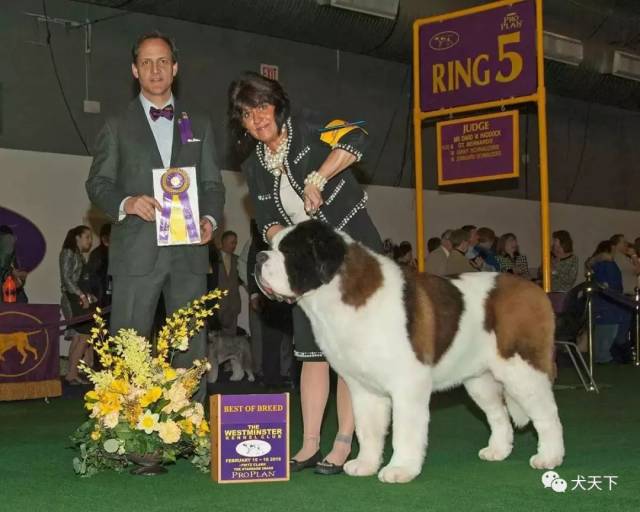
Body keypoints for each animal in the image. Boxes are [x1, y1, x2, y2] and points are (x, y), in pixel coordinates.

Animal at [255, 221, 564, 484]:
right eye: (272, 245)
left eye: (289, 251)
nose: (259, 257)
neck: (336, 296)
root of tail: (535, 289)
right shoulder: (363, 388)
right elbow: (367, 428)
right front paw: (365, 464)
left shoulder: (408, 384)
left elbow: (405, 430)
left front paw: (400, 469)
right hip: (480, 380)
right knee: (498, 414)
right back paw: (498, 451)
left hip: (523, 370)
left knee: (546, 413)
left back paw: (549, 457)